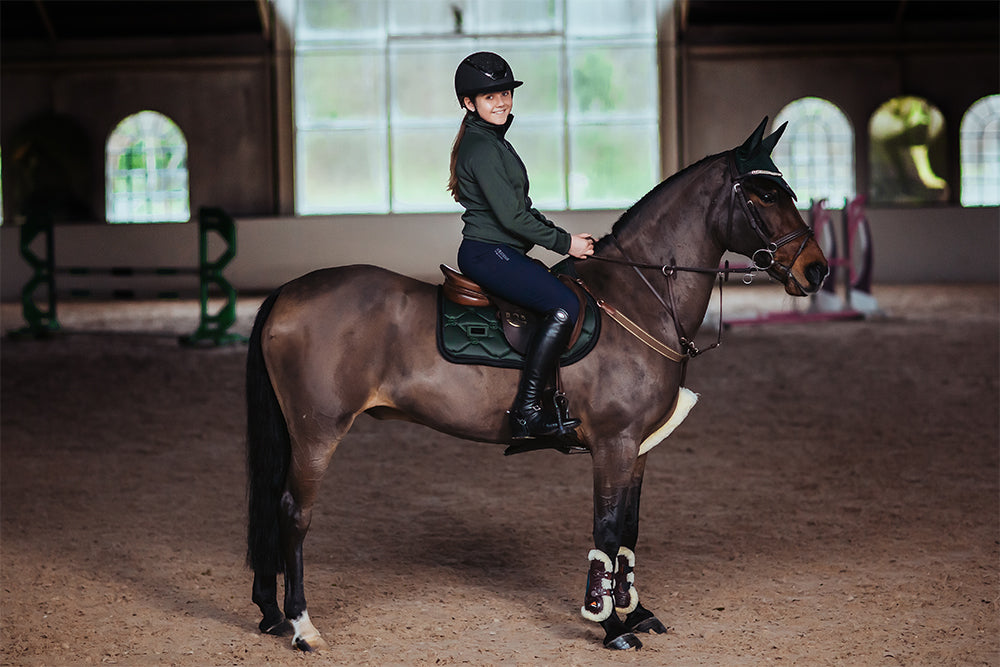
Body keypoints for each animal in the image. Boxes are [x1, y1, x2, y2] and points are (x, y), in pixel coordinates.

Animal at [245, 118, 829, 651]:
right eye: (764, 194)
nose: (817, 270)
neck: (639, 296)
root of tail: (288, 293)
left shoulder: (638, 448)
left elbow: (630, 530)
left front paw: (634, 612)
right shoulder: (613, 445)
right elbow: (607, 530)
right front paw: (610, 626)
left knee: (272, 509)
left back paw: (271, 614)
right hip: (317, 431)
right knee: (293, 513)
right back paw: (301, 627)